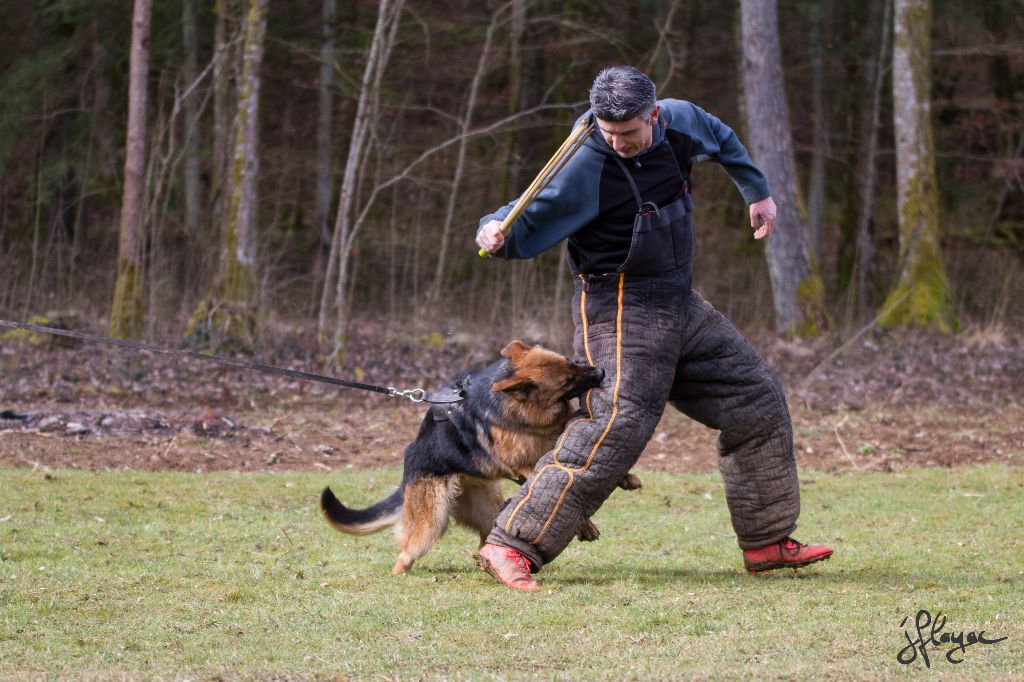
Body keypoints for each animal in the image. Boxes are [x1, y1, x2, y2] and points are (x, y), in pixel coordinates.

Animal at [319, 339, 638, 573]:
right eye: (568, 381)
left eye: (573, 362)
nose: (602, 373)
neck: (523, 411)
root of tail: (410, 463)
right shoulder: (522, 465)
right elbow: (550, 476)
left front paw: (625, 478)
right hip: (431, 522)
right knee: (406, 551)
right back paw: (400, 572)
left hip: (486, 509)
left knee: (488, 536)